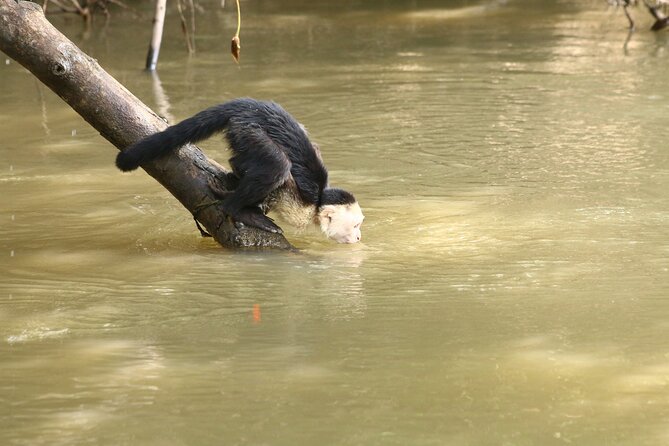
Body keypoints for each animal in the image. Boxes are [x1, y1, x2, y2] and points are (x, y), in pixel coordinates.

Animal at [117, 97, 362, 244]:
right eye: (356, 225)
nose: (359, 237)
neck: (315, 205)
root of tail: (251, 105)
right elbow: (281, 178)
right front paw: (240, 201)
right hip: (247, 130)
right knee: (277, 165)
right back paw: (236, 208)